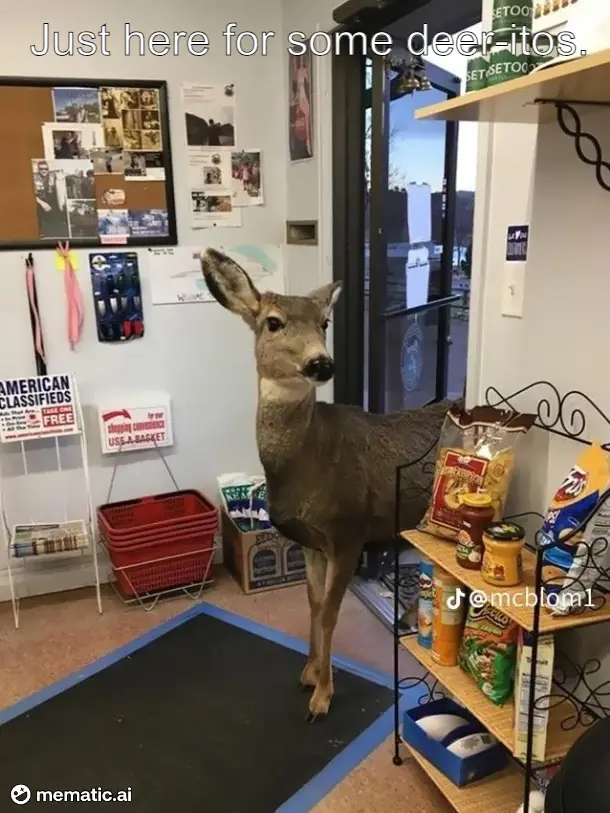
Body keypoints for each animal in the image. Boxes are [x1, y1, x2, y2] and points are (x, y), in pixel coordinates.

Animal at [201, 248, 455, 721]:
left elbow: (331, 614)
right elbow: (314, 605)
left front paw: (321, 697)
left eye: (324, 322)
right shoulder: (311, 542)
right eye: (273, 321)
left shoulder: (349, 532)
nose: (321, 362)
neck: (308, 462)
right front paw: (307, 673)